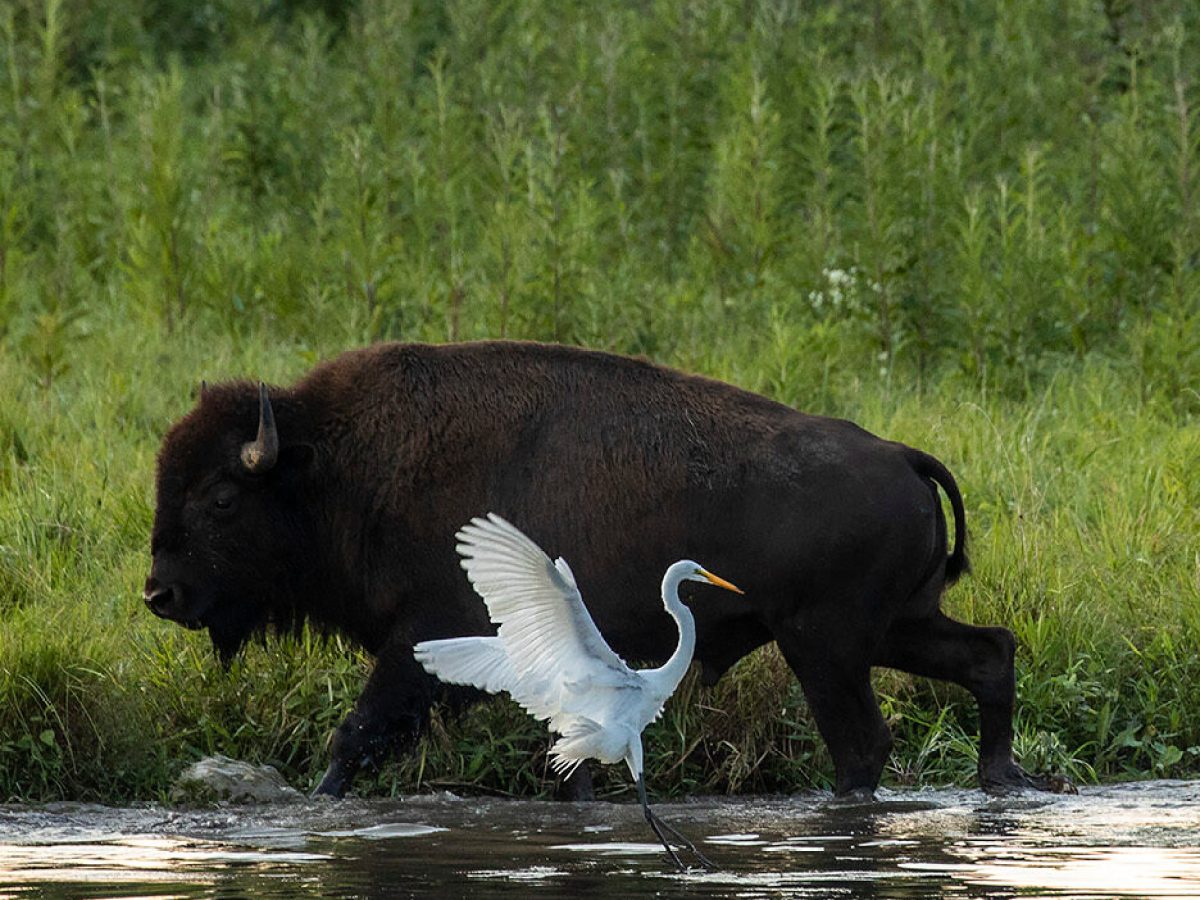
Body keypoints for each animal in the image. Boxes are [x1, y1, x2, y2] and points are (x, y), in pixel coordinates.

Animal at [147, 340, 1060, 801]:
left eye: (221, 497)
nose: (160, 593)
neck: (336, 461)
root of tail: (901, 454)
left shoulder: (419, 646)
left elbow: (359, 735)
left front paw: (319, 801)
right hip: (895, 626)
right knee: (989, 653)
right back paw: (1001, 779)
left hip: (825, 645)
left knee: (863, 741)